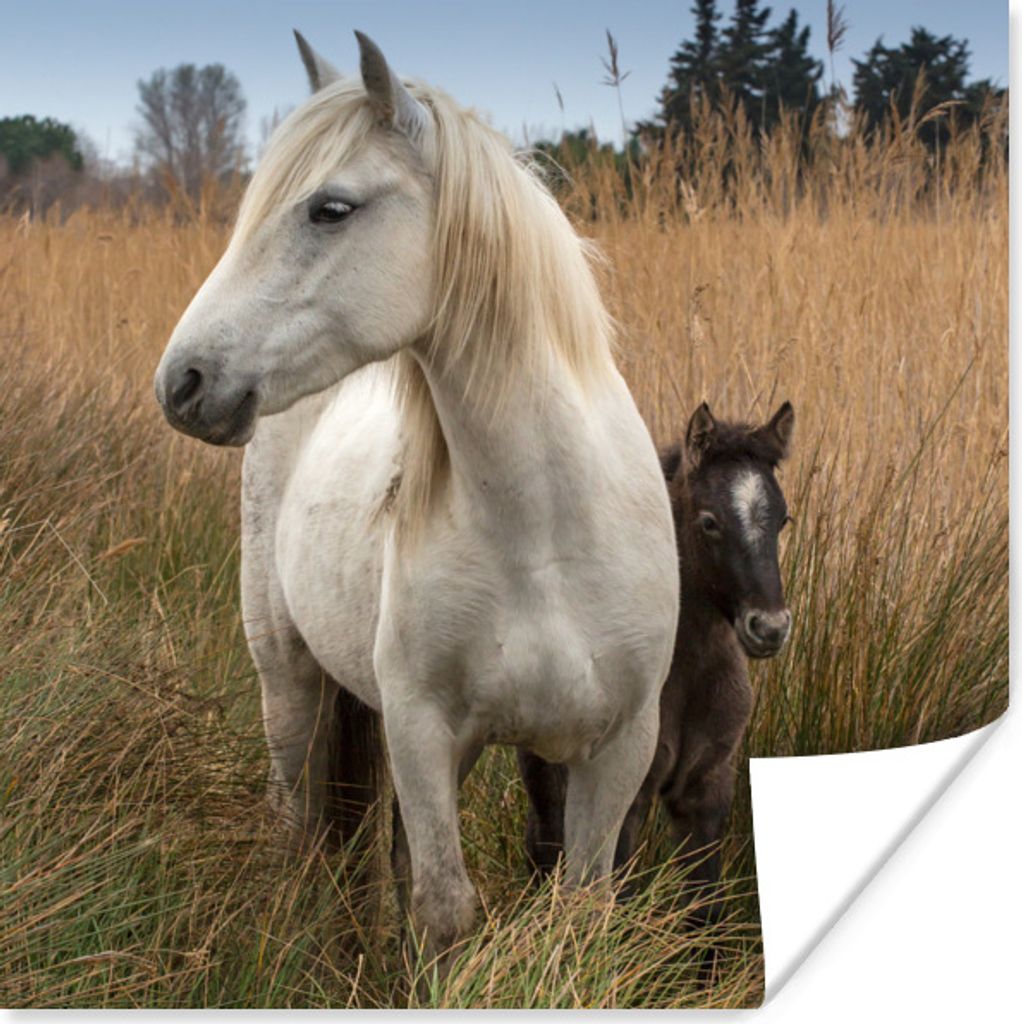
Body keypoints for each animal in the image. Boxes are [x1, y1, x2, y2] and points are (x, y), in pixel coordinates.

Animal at [152, 31, 678, 961]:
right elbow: (443, 908)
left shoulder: (618, 748)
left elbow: (578, 911)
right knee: (298, 822)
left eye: (330, 209)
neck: (545, 535)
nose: (183, 383)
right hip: (288, 677)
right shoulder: (422, 731)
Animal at [518, 401, 794, 918]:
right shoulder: (631, 795)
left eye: (783, 519)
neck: (689, 673)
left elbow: (704, 911)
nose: (769, 628)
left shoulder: (705, 791)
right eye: (709, 522)